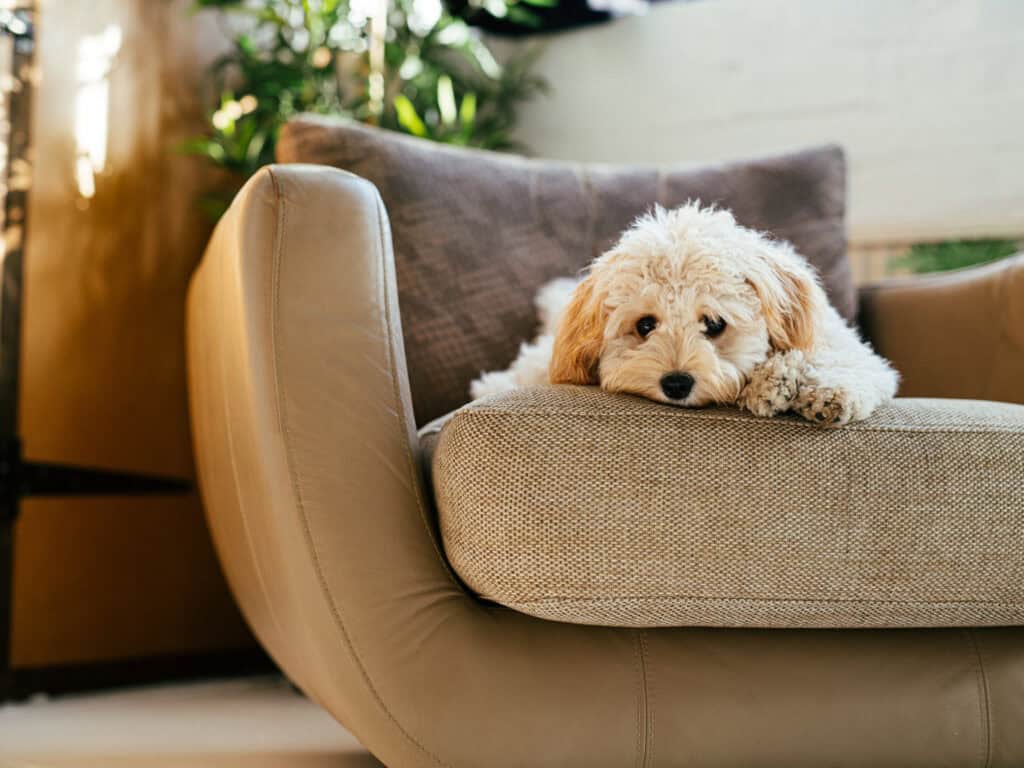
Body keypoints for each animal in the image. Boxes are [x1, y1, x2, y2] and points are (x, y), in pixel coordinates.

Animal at [471, 202, 897, 428]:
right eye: (645, 325)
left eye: (714, 323)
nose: (676, 383)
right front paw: (775, 384)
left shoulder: (846, 347)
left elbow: (843, 363)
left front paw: (815, 388)